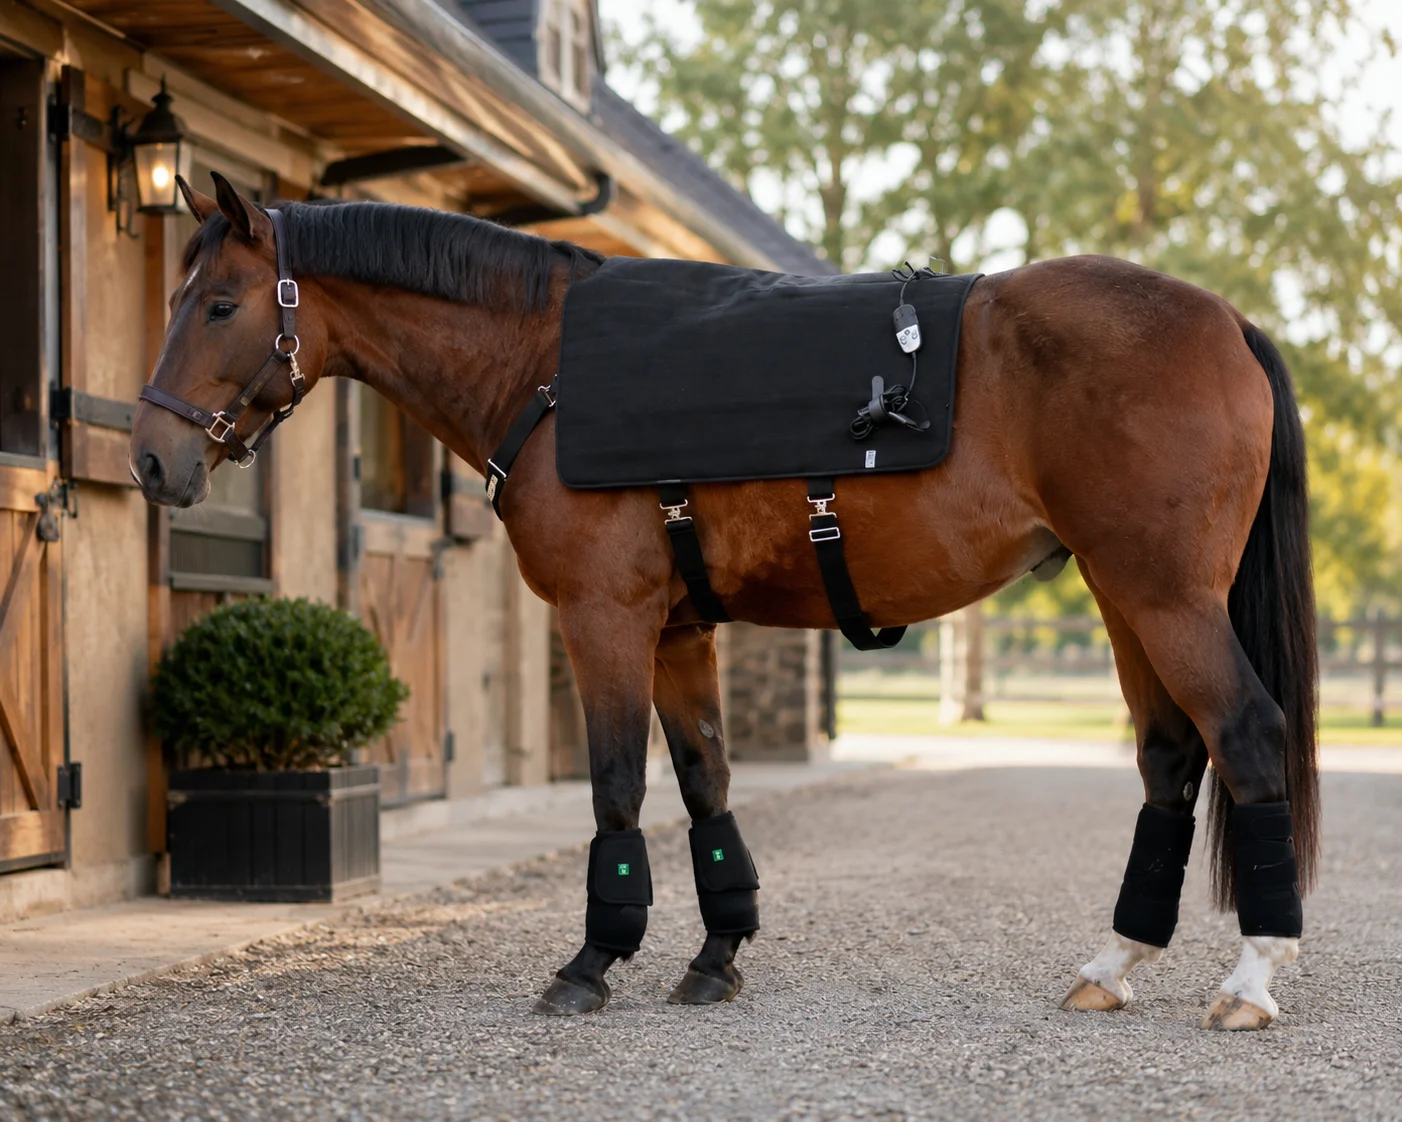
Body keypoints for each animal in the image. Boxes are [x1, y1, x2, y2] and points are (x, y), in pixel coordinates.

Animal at [130, 173, 1318, 1032]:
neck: (549, 369)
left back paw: (1250, 980)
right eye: (178, 298)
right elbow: (706, 788)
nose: (149, 459)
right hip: (1126, 600)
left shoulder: (603, 619)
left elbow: (617, 789)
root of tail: (1226, 321)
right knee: (1171, 758)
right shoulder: (679, 630)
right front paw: (714, 956)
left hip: (1166, 598)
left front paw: (592, 961)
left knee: (1246, 736)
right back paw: (1113, 962)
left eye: (222, 304)